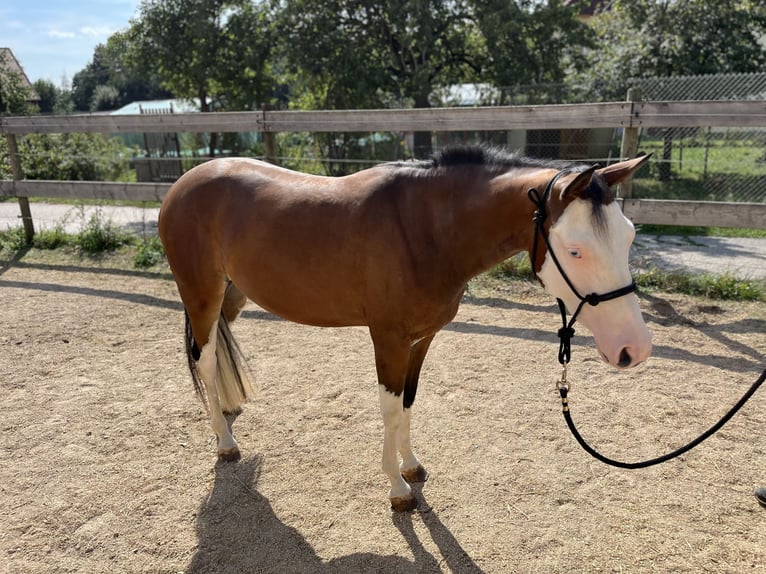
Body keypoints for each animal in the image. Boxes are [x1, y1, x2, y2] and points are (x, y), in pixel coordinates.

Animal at [160, 147, 656, 512]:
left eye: (630, 236)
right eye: (574, 251)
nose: (634, 349)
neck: (424, 230)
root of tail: (184, 183)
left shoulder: (422, 338)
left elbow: (409, 402)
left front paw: (412, 466)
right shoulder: (389, 339)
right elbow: (390, 408)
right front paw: (397, 488)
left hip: (232, 296)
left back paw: (227, 410)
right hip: (202, 296)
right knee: (204, 359)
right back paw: (225, 442)